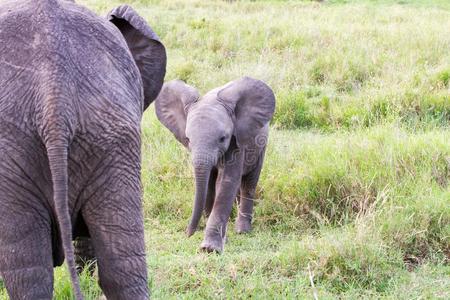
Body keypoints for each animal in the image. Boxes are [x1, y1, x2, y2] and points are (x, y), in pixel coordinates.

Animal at [156, 77, 274, 253]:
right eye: (188, 139)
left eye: (223, 138)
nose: (188, 233)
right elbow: (209, 184)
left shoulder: (236, 142)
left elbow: (226, 182)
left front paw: (209, 248)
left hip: (261, 146)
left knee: (249, 182)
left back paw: (242, 231)